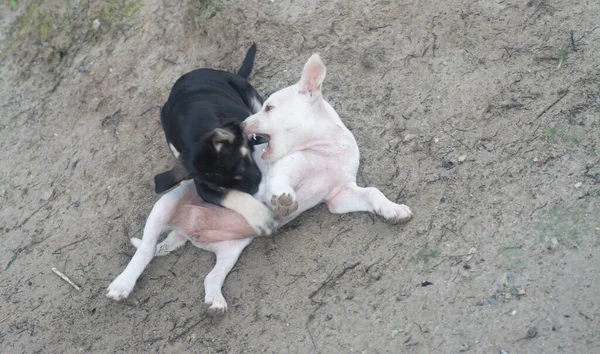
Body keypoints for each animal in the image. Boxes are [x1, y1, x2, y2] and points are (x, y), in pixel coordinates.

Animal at [155, 44, 276, 236]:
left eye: (242, 168)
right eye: (220, 186)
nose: (254, 189)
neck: (197, 131)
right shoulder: (204, 188)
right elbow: (232, 196)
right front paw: (261, 218)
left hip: (246, 90)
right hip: (164, 118)